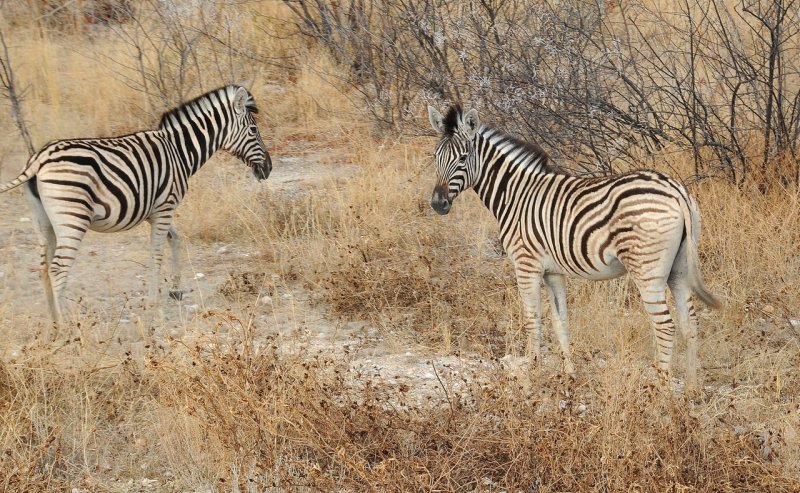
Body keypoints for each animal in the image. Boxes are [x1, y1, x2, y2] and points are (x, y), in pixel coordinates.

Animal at [0, 85, 272, 330]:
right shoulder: (165, 208)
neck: (179, 151)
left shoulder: (157, 210)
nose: (268, 169)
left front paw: (175, 290)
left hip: (43, 220)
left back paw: (53, 324)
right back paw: (68, 327)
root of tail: (39, 158)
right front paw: (154, 304)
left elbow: (176, 239)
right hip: (73, 217)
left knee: (44, 267)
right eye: (254, 130)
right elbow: (156, 253)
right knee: (58, 268)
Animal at [428, 104, 720, 388]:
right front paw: (569, 374)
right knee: (690, 323)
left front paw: (530, 375)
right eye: (435, 157)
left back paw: (661, 389)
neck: (516, 195)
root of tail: (676, 190)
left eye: (463, 158)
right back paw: (691, 388)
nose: (437, 204)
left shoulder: (526, 265)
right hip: (678, 269)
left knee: (665, 326)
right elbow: (561, 322)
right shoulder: (553, 272)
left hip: (647, 270)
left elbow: (532, 320)